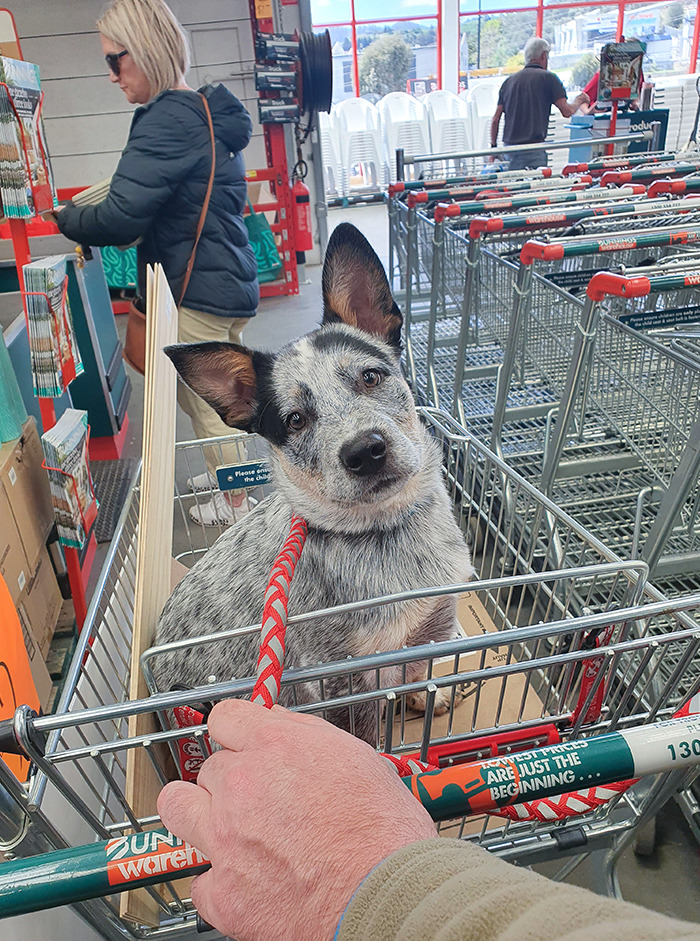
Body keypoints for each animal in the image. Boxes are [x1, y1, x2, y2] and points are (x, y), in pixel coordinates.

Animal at [154, 222, 476, 740]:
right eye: (296, 419)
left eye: (371, 376)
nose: (365, 451)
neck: (388, 533)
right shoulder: (345, 681)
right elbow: (367, 737)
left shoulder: (429, 628)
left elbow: (419, 672)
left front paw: (429, 697)